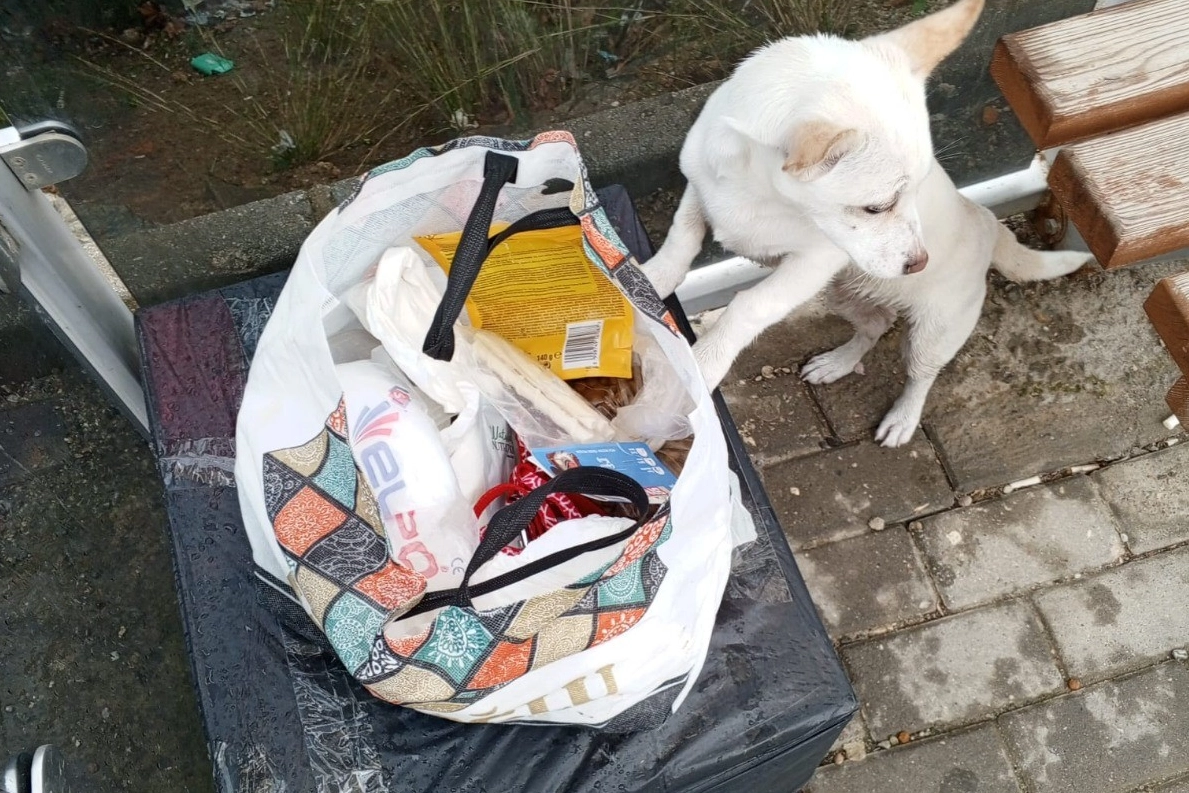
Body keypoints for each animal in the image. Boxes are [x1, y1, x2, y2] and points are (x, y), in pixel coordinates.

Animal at [642, 0, 1091, 447]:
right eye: (877, 207)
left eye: (916, 191)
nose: (919, 263)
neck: (755, 190)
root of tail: (988, 223)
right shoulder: (699, 191)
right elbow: (681, 240)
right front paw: (649, 279)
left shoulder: (811, 264)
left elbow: (750, 305)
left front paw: (703, 363)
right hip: (840, 293)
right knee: (877, 324)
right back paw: (839, 362)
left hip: (936, 331)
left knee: (921, 376)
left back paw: (903, 419)